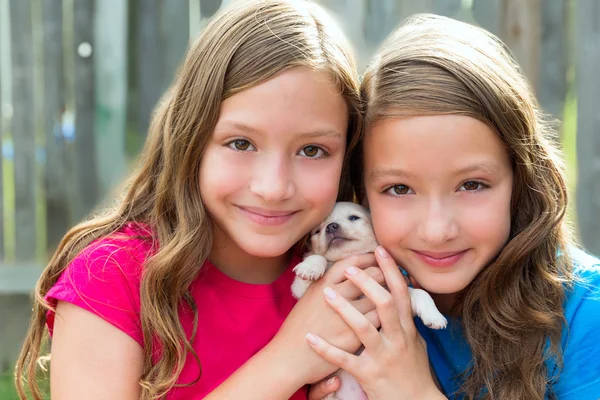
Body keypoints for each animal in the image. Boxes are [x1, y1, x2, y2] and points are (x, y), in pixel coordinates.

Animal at [292, 203, 448, 400]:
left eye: (353, 218)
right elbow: (318, 259)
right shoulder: (299, 290)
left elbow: (420, 293)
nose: (331, 227)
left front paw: (434, 316)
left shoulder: (395, 293)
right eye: (317, 231)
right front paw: (310, 266)